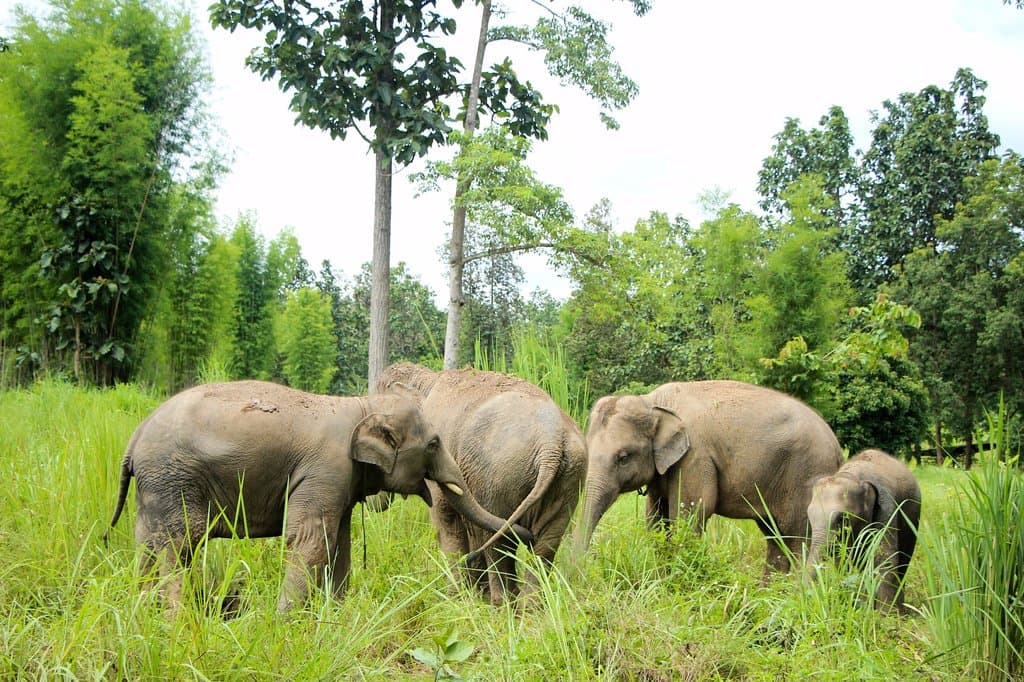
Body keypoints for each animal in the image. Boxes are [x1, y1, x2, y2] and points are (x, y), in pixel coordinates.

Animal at [106, 380, 532, 612]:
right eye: (433, 443)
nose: (526, 532)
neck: (361, 404)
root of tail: (134, 439)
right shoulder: (326, 468)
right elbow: (311, 539)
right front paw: (284, 622)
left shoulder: (339, 479)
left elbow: (339, 542)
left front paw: (334, 615)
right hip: (172, 478)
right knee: (179, 545)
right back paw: (174, 618)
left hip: (155, 488)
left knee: (147, 546)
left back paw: (144, 613)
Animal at [377, 363, 588, 604]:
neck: (428, 379)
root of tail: (550, 443)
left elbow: (446, 518)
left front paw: (455, 599)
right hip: (569, 480)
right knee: (545, 543)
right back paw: (529, 605)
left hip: (498, 478)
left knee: (499, 540)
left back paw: (500, 603)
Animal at [574, 380, 843, 573]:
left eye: (623, 457)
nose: (579, 569)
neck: (653, 402)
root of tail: (838, 448)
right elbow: (656, 518)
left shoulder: (695, 457)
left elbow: (691, 512)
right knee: (775, 536)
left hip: (806, 475)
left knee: (798, 538)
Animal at [805, 448, 921, 609]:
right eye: (809, 516)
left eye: (842, 518)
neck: (851, 476)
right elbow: (841, 561)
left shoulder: (887, 506)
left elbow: (883, 557)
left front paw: (885, 614)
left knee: (904, 560)